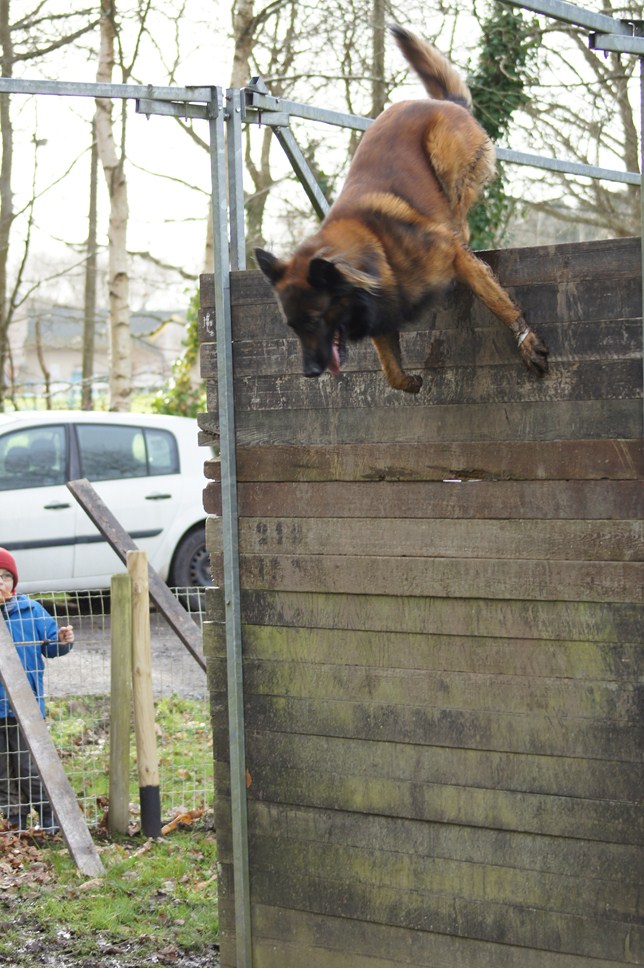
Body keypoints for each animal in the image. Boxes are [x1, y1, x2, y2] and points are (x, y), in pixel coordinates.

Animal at [254, 23, 544, 394]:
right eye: (292, 326)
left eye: (315, 320)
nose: (309, 372)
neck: (376, 242)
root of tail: (445, 102)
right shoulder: (382, 307)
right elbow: (391, 371)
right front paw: (409, 381)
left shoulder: (453, 256)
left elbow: (495, 299)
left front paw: (526, 341)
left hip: (444, 154)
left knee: (460, 217)